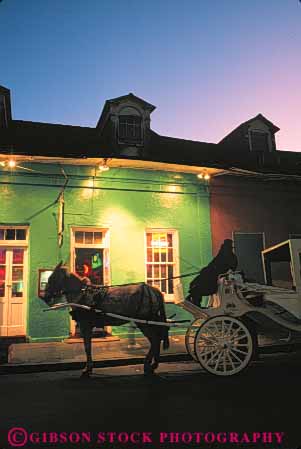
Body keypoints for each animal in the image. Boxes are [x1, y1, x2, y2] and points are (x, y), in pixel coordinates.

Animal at [41, 260, 170, 376]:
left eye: (52, 278)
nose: (45, 297)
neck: (82, 295)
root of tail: (153, 290)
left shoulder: (85, 325)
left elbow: (87, 347)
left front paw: (87, 369)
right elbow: (88, 346)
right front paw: (89, 368)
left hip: (144, 322)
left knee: (155, 340)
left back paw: (148, 365)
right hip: (150, 321)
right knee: (157, 339)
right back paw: (153, 365)